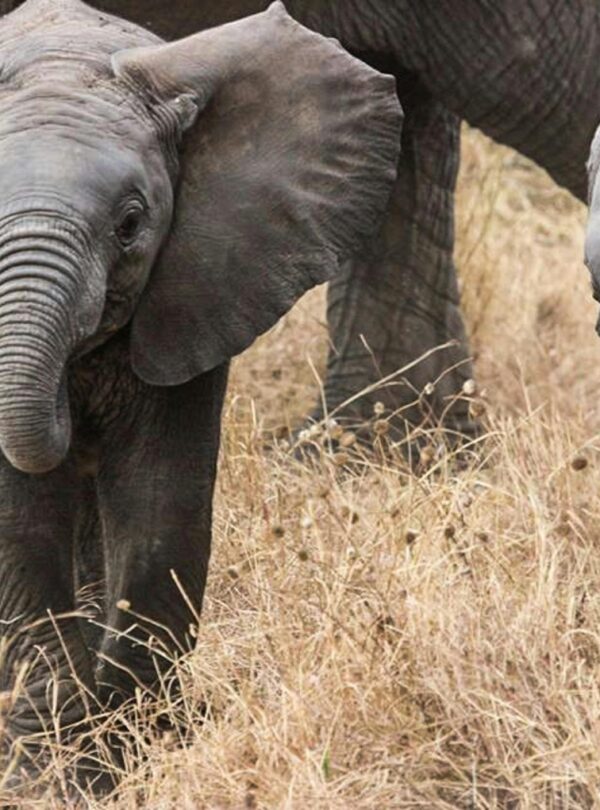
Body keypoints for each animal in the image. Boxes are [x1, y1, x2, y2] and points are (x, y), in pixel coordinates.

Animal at [0, 0, 402, 784]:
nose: (65, 403)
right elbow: (20, 524)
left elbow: (160, 503)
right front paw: (47, 774)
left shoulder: (201, 282)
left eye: (130, 224)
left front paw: (131, 758)